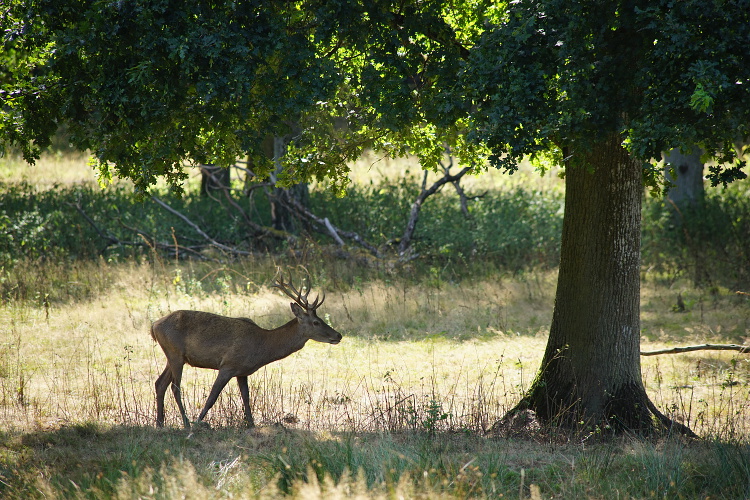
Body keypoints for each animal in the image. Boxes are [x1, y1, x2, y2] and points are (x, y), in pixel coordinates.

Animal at [151, 274, 344, 430]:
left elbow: (246, 398)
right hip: (175, 353)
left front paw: (251, 424)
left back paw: (160, 423)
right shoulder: (228, 364)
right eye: (316, 322)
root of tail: (154, 325)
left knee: (160, 383)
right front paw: (199, 422)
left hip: (174, 356)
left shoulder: (242, 372)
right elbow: (212, 397)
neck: (261, 346)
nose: (338, 335)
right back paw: (185, 423)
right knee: (175, 387)